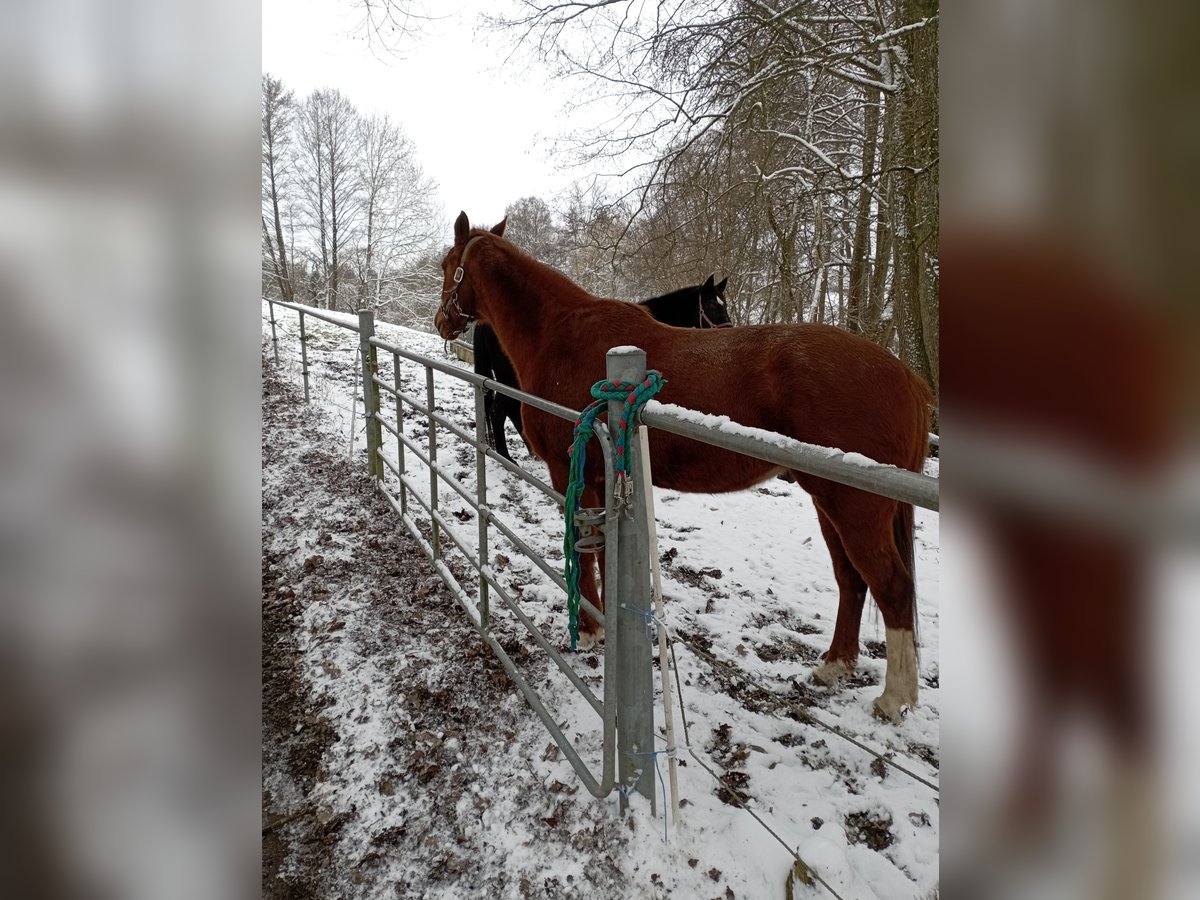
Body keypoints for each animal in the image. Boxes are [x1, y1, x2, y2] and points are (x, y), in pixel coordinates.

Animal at [468, 274, 729, 460]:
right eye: (712, 306)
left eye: (724, 305)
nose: (729, 330)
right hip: (508, 378)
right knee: (499, 411)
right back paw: (507, 456)